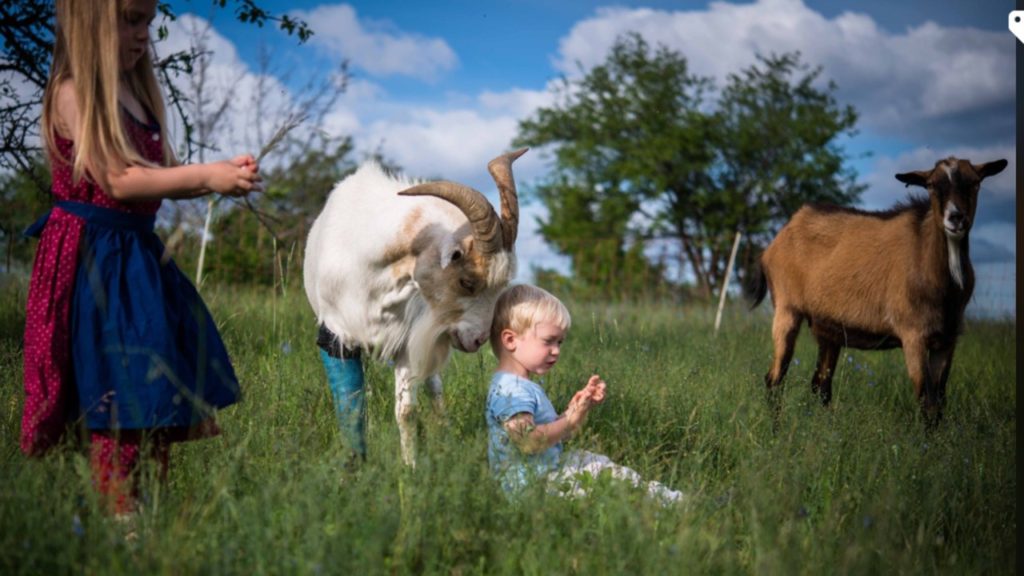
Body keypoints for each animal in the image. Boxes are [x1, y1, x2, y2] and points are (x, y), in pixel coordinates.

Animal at [301, 146, 528, 461]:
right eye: (467, 282)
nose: (477, 339)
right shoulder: (337, 334)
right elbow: (351, 404)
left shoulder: (408, 341)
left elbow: (407, 411)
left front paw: (410, 467)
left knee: (434, 386)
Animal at [753, 155, 1007, 422]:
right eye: (931, 185)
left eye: (975, 182)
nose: (956, 218)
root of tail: (774, 243)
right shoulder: (913, 335)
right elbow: (926, 400)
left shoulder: (947, 339)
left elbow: (939, 403)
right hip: (787, 309)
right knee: (774, 378)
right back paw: (776, 425)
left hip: (828, 328)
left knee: (821, 384)